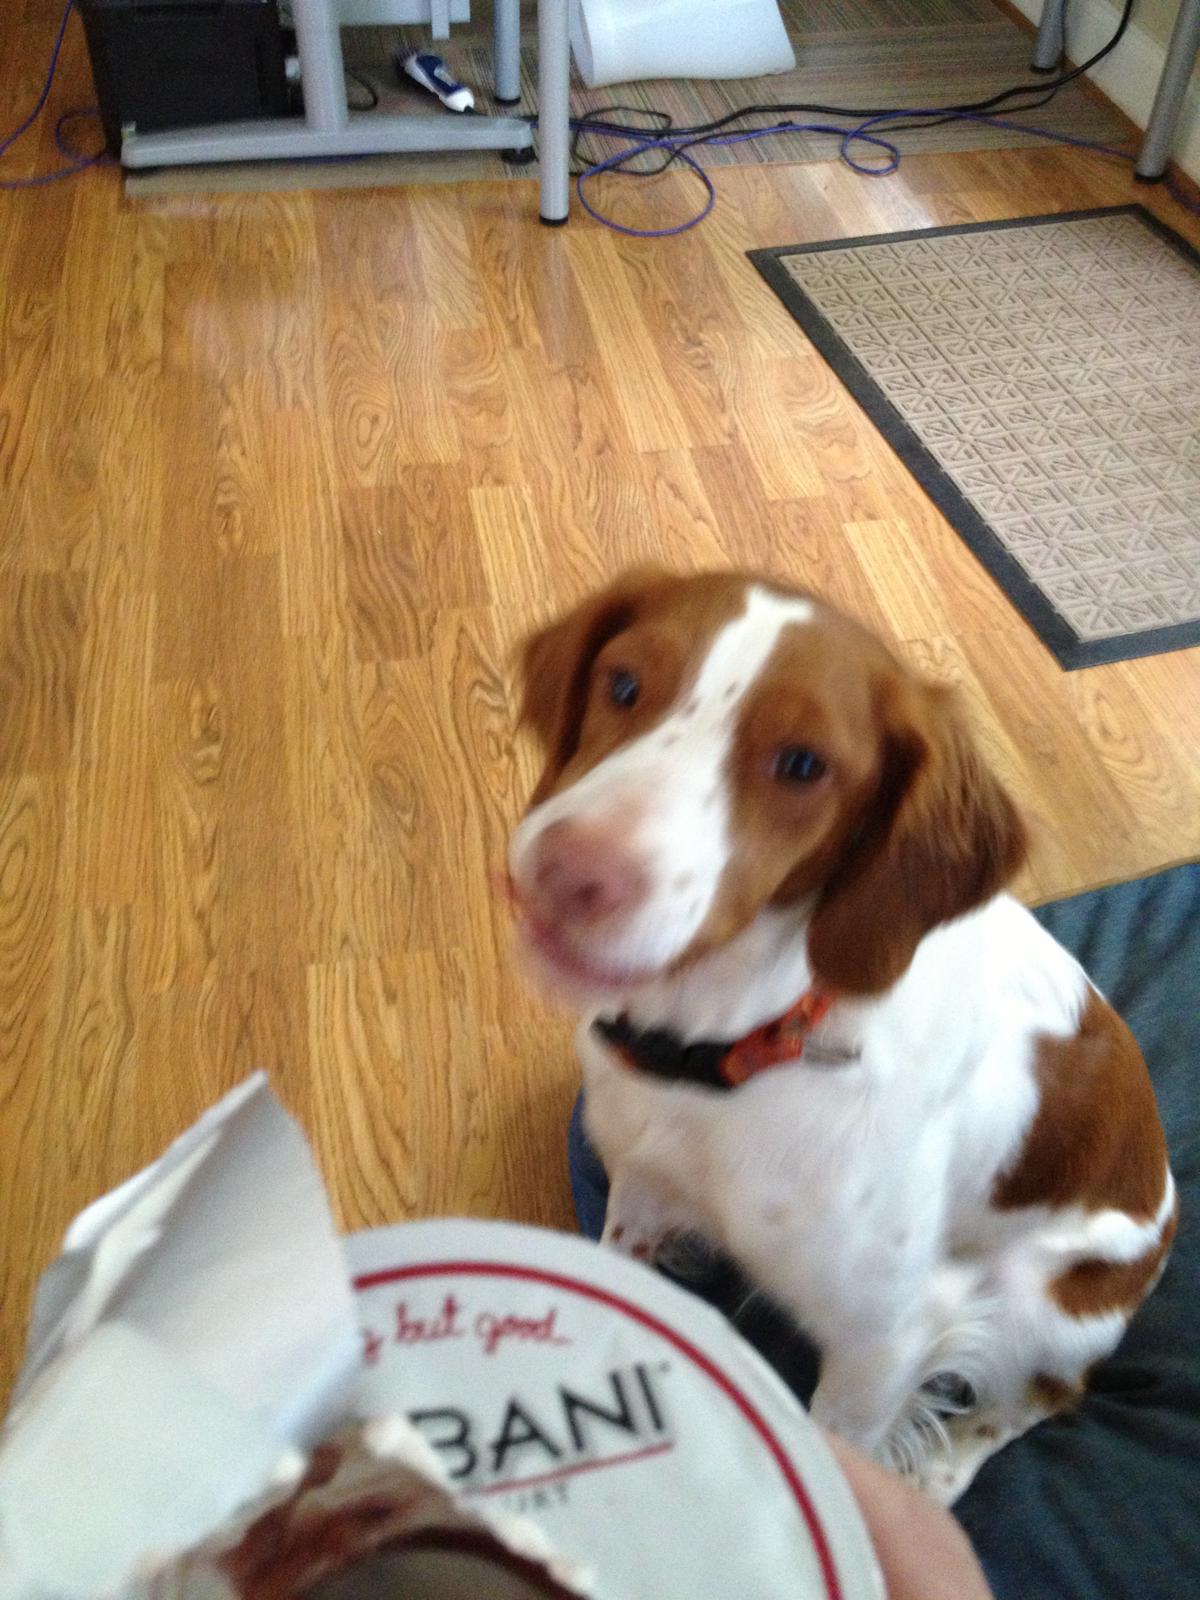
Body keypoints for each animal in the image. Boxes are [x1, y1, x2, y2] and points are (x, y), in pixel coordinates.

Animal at [506, 568, 1175, 1503]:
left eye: (802, 765)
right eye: (624, 684)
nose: (567, 874)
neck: (745, 1048)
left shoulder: (884, 1344)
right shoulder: (641, 1188)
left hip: (1034, 1306)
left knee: (1041, 1398)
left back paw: (942, 1470)